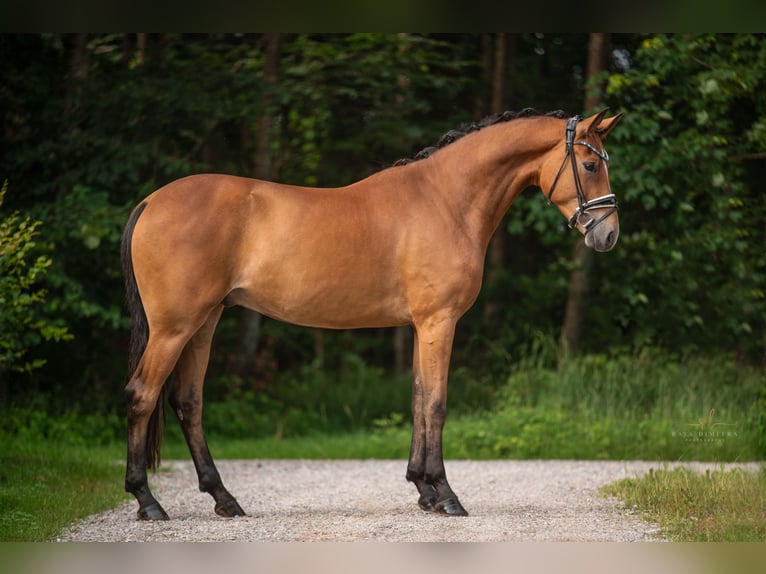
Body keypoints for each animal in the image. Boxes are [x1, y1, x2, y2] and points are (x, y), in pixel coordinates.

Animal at [120, 108, 624, 520]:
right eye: (591, 165)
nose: (608, 235)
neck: (445, 200)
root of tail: (150, 201)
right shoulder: (440, 322)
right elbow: (437, 403)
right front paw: (446, 495)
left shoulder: (422, 325)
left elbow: (418, 399)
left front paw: (423, 489)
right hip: (174, 328)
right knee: (142, 395)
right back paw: (148, 501)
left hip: (203, 324)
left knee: (188, 402)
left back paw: (223, 499)